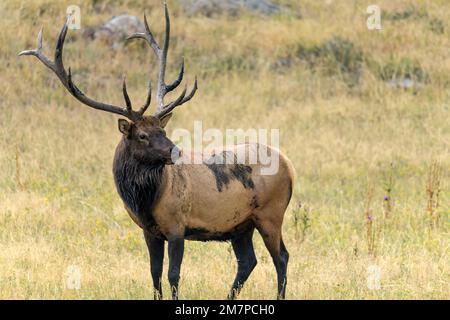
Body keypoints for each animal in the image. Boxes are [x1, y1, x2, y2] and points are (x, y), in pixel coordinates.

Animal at [20, 3, 296, 298]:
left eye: (162, 132)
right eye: (142, 135)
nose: (176, 152)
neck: (145, 201)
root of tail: (289, 166)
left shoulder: (177, 225)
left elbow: (173, 274)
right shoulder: (149, 231)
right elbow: (154, 273)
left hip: (270, 213)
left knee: (281, 257)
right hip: (240, 225)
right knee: (248, 261)